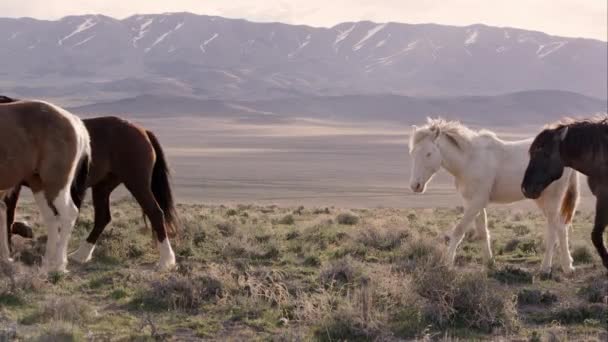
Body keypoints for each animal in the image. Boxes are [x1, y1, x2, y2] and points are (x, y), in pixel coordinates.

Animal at [1, 95, 178, 270]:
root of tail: (144, 131)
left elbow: (8, 216)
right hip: (98, 187)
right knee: (99, 218)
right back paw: (76, 256)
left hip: (134, 182)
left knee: (154, 212)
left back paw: (166, 261)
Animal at [408, 119, 580, 274]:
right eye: (413, 153)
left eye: (428, 153)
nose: (415, 185)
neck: (470, 160)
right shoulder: (473, 202)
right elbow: (483, 232)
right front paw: (489, 263)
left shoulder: (476, 202)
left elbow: (458, 231)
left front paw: (447, 264)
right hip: (542, 200)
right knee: (561, 227)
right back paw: (567, 266)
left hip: (551, 199)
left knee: (554, 229)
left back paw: (546, 268)